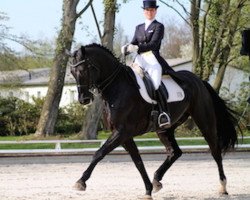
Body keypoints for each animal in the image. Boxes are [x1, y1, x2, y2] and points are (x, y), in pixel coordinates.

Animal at [69, 43, 238, 198]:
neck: (116, 88)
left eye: (84, 70)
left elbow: (99, 153)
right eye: (72, 72)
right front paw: (148, 190)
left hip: (205, 122)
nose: (84, 99)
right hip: (164, 128)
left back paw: (223, 187)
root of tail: (199, 80)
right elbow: (138, 161)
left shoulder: (122, 132)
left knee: (215, 150)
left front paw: (80, 182)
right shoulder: (124, 136)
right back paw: (157, 180)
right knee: (175, 152)